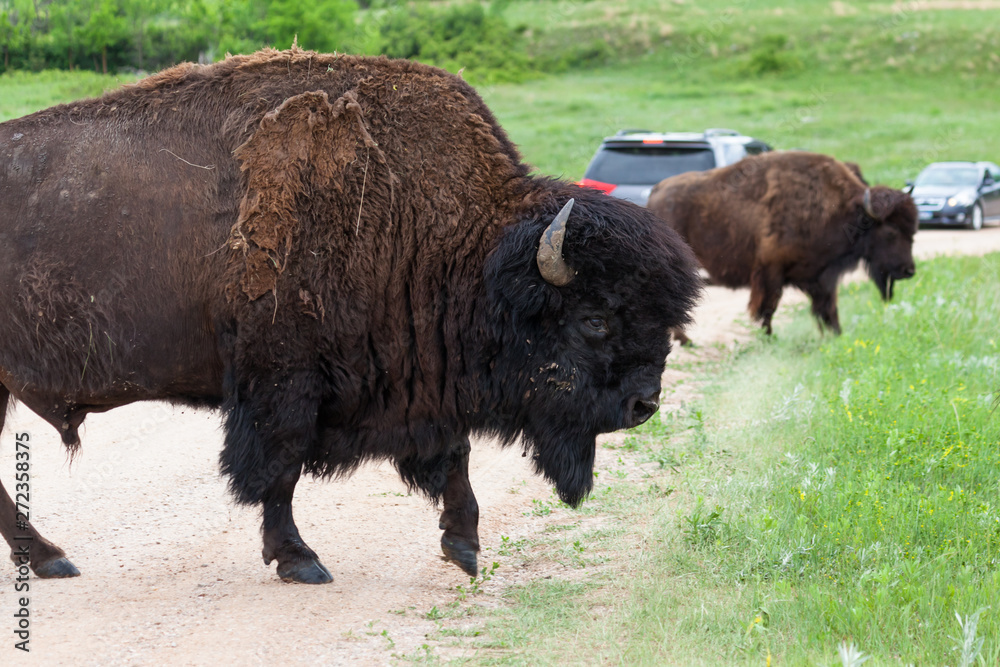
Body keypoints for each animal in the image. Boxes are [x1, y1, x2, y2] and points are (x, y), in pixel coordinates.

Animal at [0, 48, 700, 584]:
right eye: (595, 320)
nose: (644, 406)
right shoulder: (282, 382)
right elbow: (279, 470)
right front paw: (300, 561)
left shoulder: (420, 382)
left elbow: (452, 455)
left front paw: (465, 549)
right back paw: (52, 559)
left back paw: (50, 560)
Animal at [644, 151, 916, 340]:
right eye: (891, 231)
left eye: (912, 231)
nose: (909, 270)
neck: (844, 211)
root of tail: (656, 191)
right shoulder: (771, 272)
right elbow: (768, 308)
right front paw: (768, 338)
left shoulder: (821, 276)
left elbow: (827, 308)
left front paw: (835, 336)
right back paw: (684, 340)